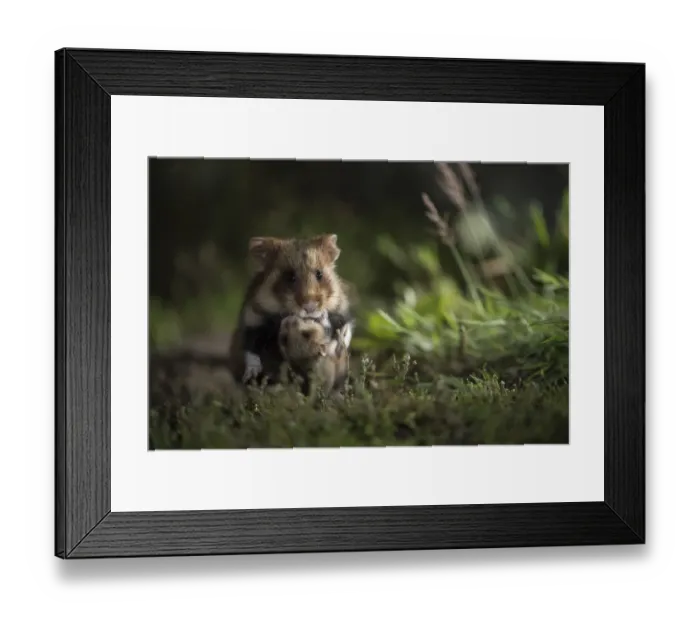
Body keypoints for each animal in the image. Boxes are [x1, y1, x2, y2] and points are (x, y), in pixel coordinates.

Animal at [228, 233, 354, 386]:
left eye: (319, 274)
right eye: (290, 277)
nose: (310, 306)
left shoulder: (342, 313)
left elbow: (345, 332)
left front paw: (333, 348)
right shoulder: (252, 318)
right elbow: (251, 349)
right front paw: (251, 375)